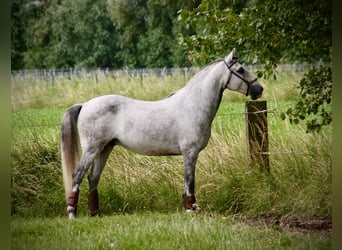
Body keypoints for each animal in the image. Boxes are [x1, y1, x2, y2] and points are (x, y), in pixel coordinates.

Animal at [61, 47, 264, 218]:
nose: (259, 89)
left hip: (105, 149)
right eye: (241, 70)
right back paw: (72, 213)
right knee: (77, 175)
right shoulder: (190, 153)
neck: (193, 104)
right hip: (92, 149)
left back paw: (95, 213)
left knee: (93, 179)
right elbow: (189, 182)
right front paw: (190, 210)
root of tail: (85, 105)